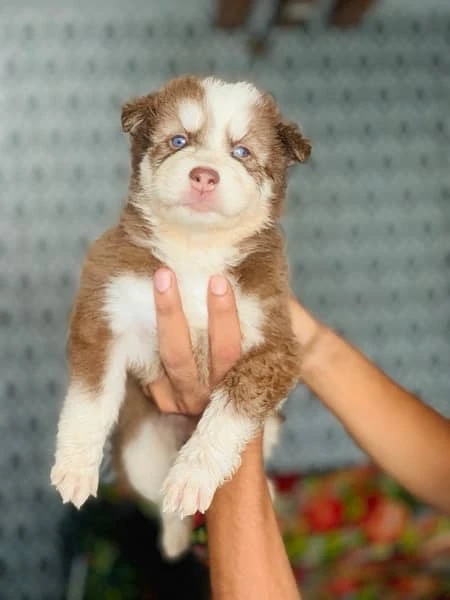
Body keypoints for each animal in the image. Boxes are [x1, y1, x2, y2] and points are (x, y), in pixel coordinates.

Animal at [48, 75, 310, 556]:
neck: (195, 252)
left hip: (270, 430)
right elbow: (89, 400)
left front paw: (193, 476)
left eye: (241, 152)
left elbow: (229, 412)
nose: (204, 174)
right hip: (141, 448)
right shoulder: (104, 310)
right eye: (178, 141)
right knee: (156, 493)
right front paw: (74, 467)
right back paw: (172, 538)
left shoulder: (275, 343)